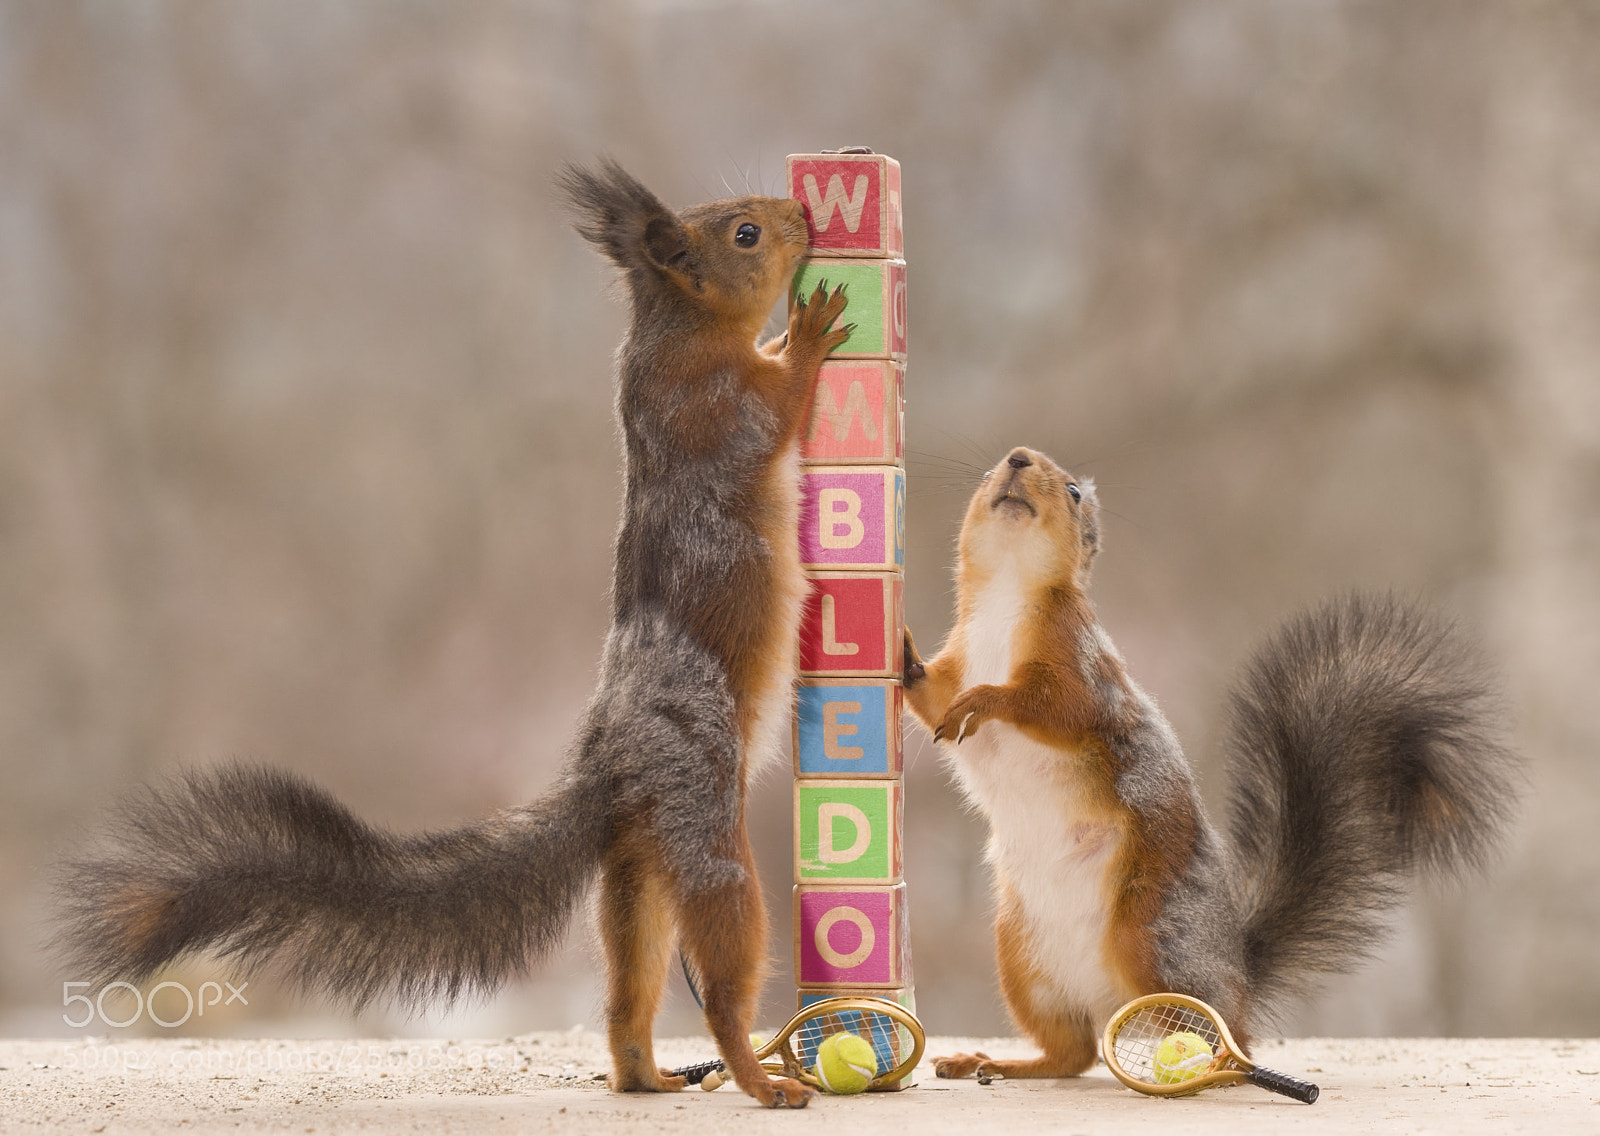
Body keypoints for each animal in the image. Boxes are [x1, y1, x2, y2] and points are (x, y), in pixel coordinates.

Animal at [56, 161, 850, 1109]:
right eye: (744, 235)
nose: (799, 213)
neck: (677, 334)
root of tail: (609, 763)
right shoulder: (717, 408)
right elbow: (776, 410)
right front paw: (806, 335)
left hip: (639, 862)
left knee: (628, 987)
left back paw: (647, 1074)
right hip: (704, 826)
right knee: (721, 974)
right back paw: (761, 1079)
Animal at [902, 446, 1518, 1080]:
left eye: (1073, 492)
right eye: (990, 471)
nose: (1018, 458)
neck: (1006, 595)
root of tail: (1235, 967)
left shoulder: (1083, 667)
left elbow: (1057, 708)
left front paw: (985, 700)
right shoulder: (959, 659)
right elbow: (933, 696)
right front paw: (900, 650)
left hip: (1154, 938)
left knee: (1226, 1033)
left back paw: (1218, 1063)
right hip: (1024, 963)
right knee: (1073, 1054)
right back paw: (999, 1063)